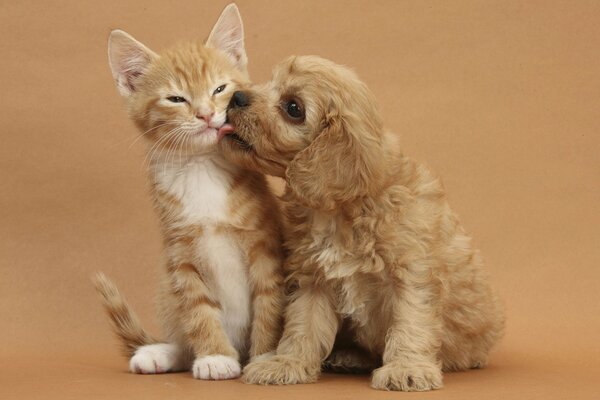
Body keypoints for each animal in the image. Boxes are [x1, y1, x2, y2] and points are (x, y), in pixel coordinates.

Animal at [93, 6, 284, 382]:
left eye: (220, 89)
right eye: (176, 98)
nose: (207, 115)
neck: (201, 168)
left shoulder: (265, 246)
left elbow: (269, 302)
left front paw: (266, 356)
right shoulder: (179, 254)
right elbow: (198, 310)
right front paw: (215, 356)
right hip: (167, 288)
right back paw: (160, 353)